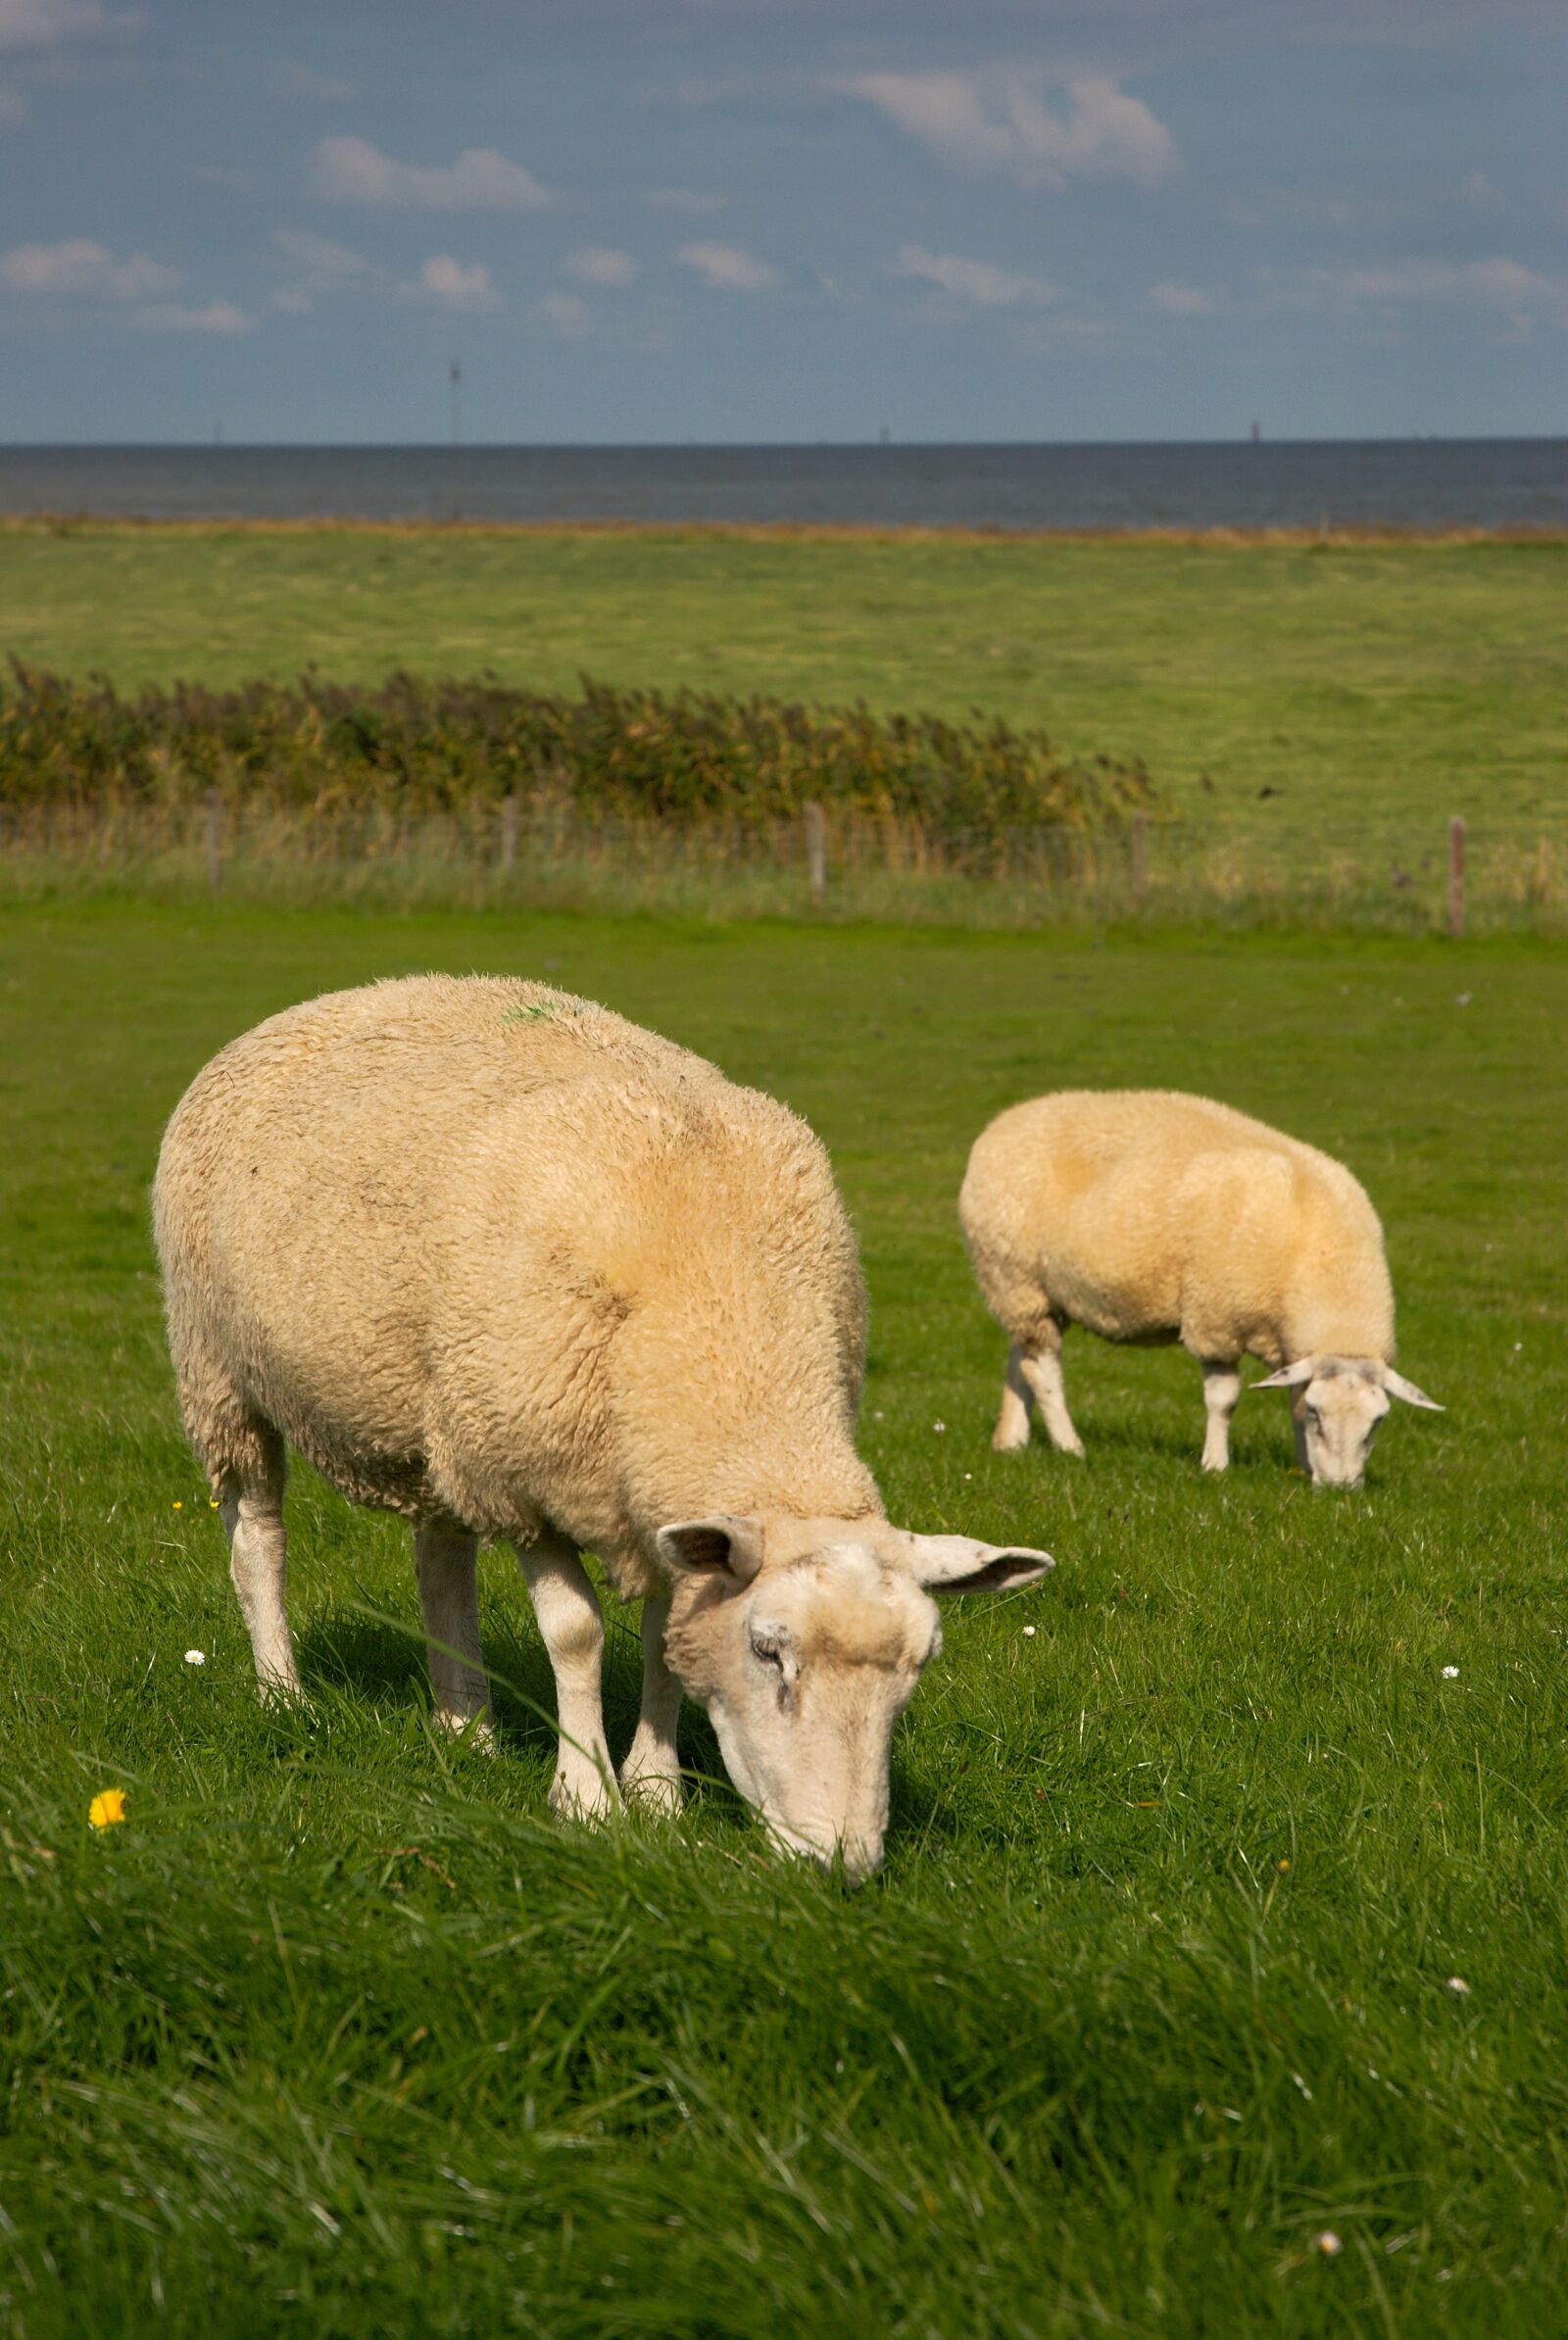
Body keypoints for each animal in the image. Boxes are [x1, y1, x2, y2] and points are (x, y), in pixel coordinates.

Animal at [154, 975, 1051, 1878]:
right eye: (767, 1650)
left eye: (917, 1670)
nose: (842, 1863)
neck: (724, 1325)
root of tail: (320, 1003)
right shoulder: (524, 1480)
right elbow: (576, 1634)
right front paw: (586, 1798)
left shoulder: (647, 1498)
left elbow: (660, 1641)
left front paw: (656, 1793)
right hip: (220, 1370)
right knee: (258, 1539)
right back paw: (282, 1693)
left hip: (440, 1413)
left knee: (440, 1560)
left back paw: (466, 1727)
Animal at [959, 1089, 1440, 1488]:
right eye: (1319, 1415)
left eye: (1378, 1422)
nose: (1341, 1488)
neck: (1325, 1262)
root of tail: (1002, 1123)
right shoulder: (1216, 1320)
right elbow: (1224, 1400)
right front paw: (1215, 1465)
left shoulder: (1289, 1345)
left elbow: (1291, 1395)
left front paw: (1304, 1466)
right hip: (1013, 1274)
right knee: (1043, 1370)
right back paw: (1070, 1446)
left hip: (1031, 1293)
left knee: (1021, 1356)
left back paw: (1011, 1440)